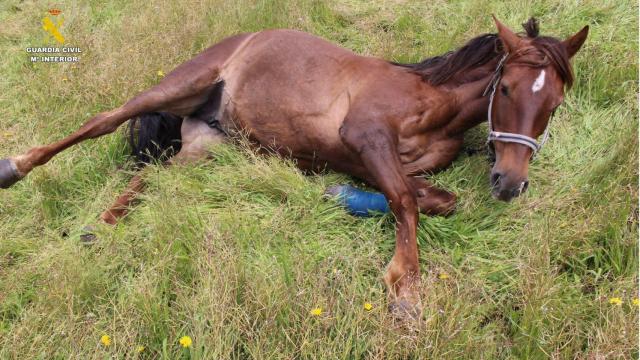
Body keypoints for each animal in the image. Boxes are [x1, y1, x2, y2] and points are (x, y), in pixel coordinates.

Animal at [0, 16, 592, 318]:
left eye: (555, 101)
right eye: (507, 88)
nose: (510, 183)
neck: (433, 101)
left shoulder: (373, 161)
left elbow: (430, 198)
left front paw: (340, 196)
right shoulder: (365, 136)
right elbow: (404, 199)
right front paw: (405, 290)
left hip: (208, 147)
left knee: (152, 178)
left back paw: (96, 231)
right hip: (178, 86)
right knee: (102, 122)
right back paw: (17, 167)